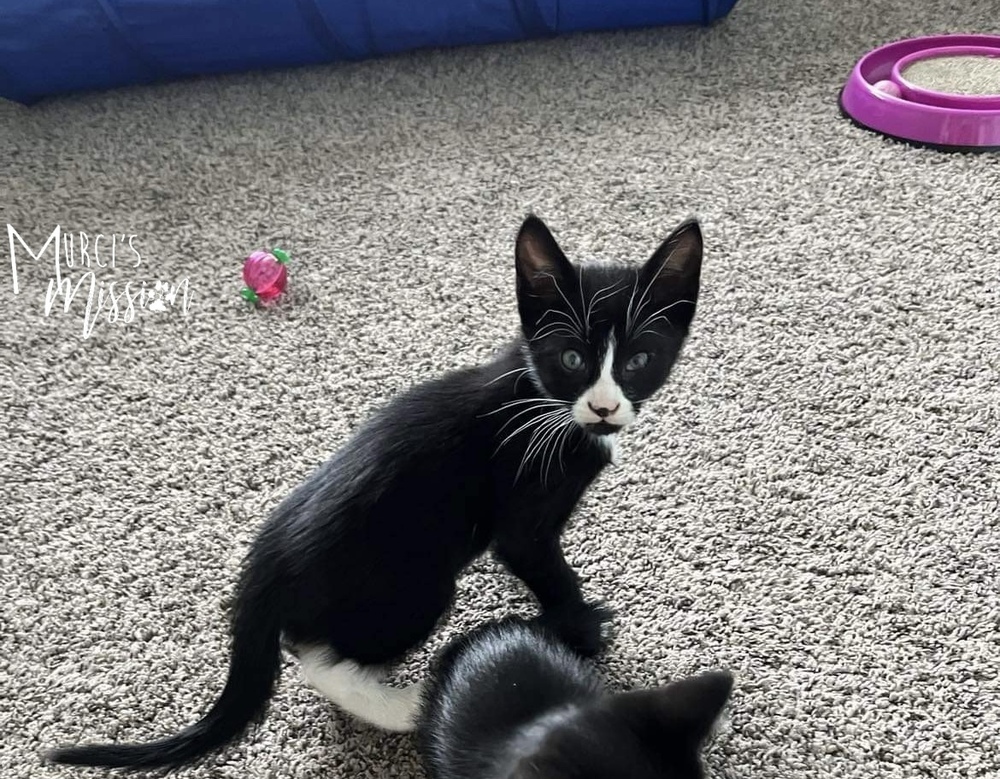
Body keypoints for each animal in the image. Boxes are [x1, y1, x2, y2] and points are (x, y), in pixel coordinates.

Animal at [47, 216, 704, 772]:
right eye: (571, 358)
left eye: (639, 361)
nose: (605, 407)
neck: (543, 401)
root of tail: (263, 564)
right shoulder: (523, 518)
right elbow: (544, 567)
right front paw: (581, 628)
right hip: (413, 590)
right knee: (315, 654)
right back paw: (403, 704)